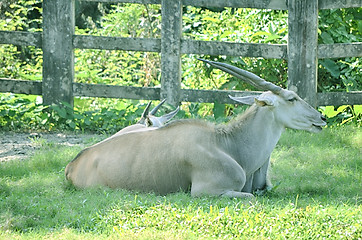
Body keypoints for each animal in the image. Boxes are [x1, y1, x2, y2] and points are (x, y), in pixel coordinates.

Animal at [66, 59, 328, 198]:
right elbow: (251, 197)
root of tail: (73, 165)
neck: (226, 144)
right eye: (292, 98)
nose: (322, 117)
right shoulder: (207, 192)